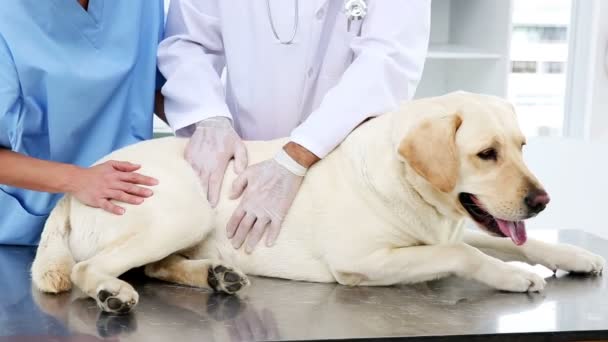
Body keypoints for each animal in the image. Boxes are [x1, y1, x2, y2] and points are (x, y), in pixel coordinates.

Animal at [32, 90, 604, 312]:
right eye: (486, 154)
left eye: (523, 146)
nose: (542, 200)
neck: (405, 182)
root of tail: (83, 182)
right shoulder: (363, 262)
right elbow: (465, 253)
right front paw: (514, 276)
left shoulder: (459, 225)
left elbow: (523, 242)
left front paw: (577, 255)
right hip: (185, 209)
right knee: (93, 270)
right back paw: (111, 291)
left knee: (156, 267)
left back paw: (218, 275)